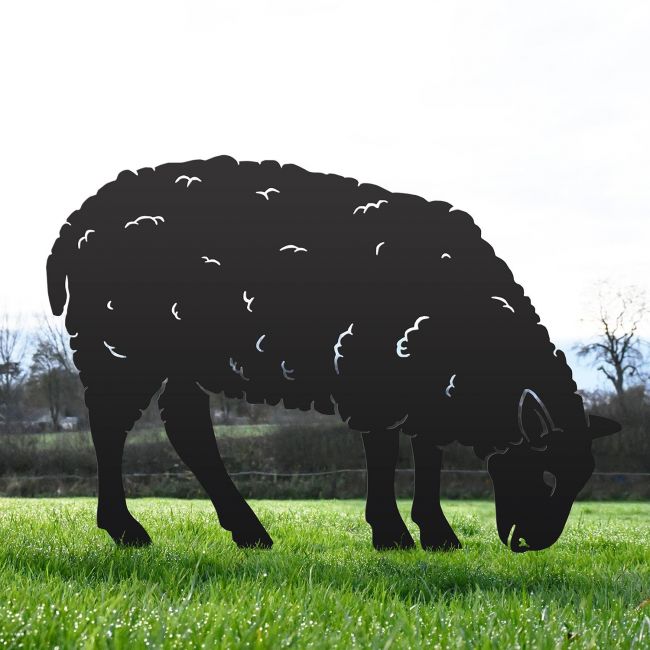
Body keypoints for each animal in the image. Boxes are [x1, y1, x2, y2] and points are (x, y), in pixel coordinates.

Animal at [47, 155, 620, 552]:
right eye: (546, 469)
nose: (535, 543)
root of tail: (76, 223)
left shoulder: (425, 380)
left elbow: (428, 452)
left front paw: (437, 534)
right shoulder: (374, 371)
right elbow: (385, 451)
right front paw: (392, 536)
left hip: (182, 357)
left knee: (187, 429)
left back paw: (248, 531)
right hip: (119, 345)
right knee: (109, 426)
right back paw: (126, 529)